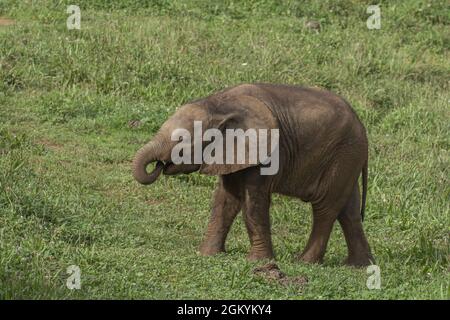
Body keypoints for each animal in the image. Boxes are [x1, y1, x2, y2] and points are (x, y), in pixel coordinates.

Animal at [132, 84, 374, 266]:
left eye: (182, 143)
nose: (160, 165)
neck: (218, 104)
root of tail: (363, 129)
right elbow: (225, 199)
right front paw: (207, 255)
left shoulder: (266, 150)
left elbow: (253, 202)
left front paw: (257, 262)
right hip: (347, 159)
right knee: (349, 211)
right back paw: (358, 265)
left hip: (343, 155)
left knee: (324, 208)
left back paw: (304, 262)